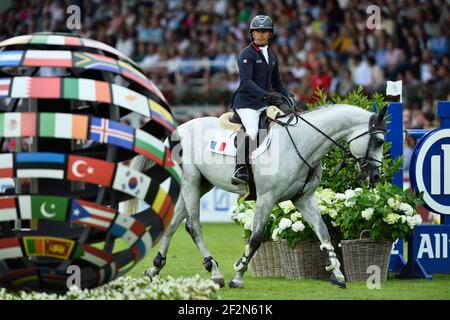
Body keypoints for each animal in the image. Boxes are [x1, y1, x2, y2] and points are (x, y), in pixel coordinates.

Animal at [125, 104, 386, 288]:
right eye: (379, 140)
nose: (375, 176)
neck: (301, 144)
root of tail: (180, 127)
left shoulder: (305, 199)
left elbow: (324, 234)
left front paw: (338, 275)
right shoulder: (266, 198)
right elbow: (256, 238)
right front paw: (238, 275)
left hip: (201, 184)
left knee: (173, 224)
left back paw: (155, 268)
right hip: (190, 181)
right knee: (193, 225)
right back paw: (215, 271)